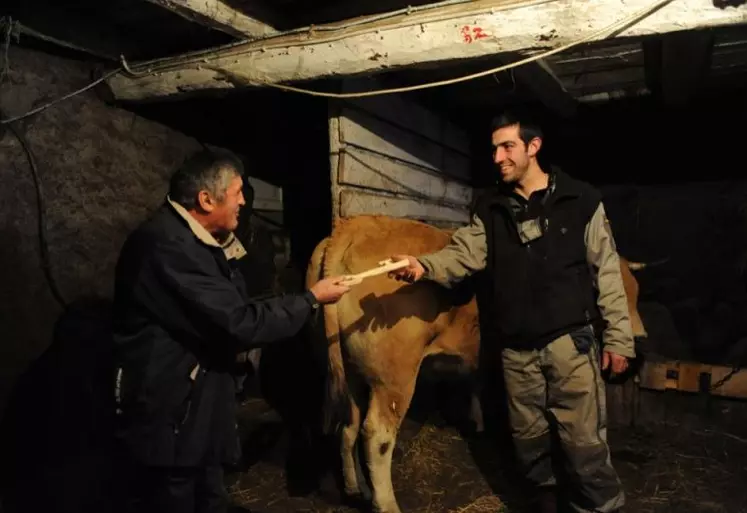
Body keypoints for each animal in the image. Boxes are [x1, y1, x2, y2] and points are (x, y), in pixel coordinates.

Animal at [306, 213, 644, 512]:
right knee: (377, 436)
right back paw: (386, 504)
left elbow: (477, 385)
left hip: (351, 372)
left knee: (349, 426)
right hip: (394, 377)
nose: (639, 342)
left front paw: (478, 423)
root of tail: (354, 225)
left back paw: (357, 489)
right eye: (604, 288)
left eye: (638, 293)